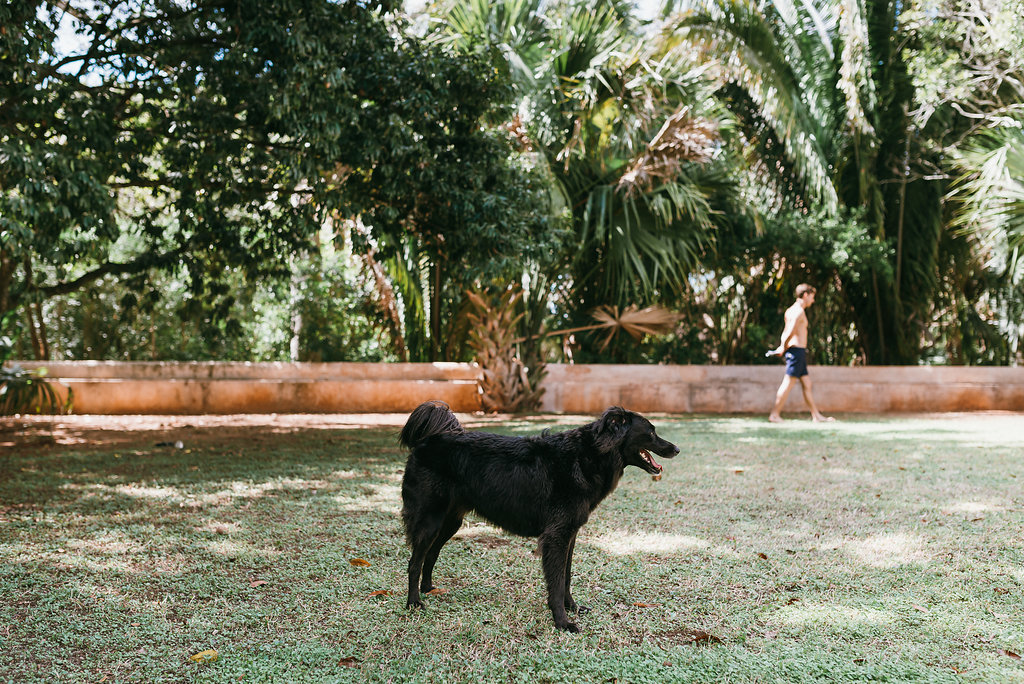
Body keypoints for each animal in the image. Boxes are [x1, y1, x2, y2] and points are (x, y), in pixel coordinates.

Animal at [399, 401, 679, 630]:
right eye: (651, 432)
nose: (676, 449)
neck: (587, 456)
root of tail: (428, 441)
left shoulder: (570, 535)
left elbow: (566, 577)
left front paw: (571, 608)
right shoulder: (556, 536)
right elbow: (556, 581)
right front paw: (562, 622)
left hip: (449, 522)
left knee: (430, 555)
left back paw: (429, 590)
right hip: (430, 520)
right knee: (414, 562)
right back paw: (414, 602)